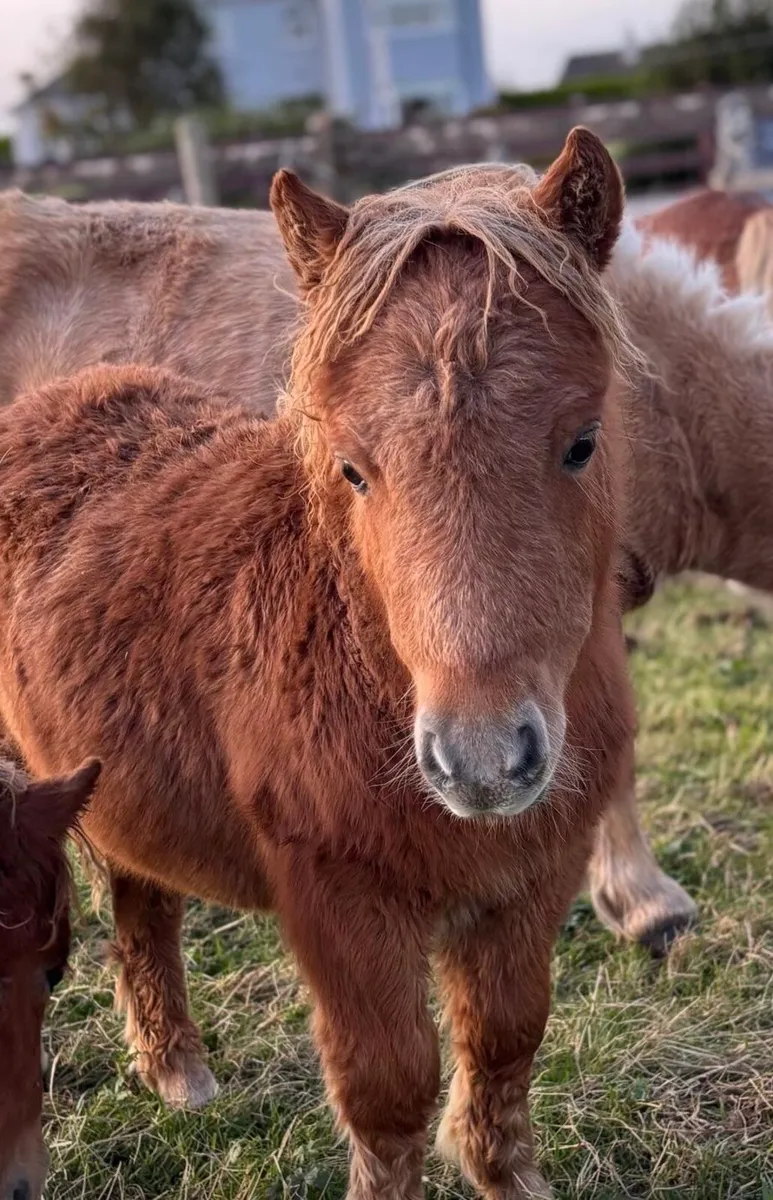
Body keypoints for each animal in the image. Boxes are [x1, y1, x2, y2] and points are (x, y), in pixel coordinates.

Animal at [0, 128, 637, 1199]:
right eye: (352, 468)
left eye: (582, 443)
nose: (480, 762)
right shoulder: (340, 908)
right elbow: (387, 1089)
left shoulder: (529, 880)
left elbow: (504, 1041)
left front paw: (505, 1175)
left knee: (139, 893)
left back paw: (177, 1073)